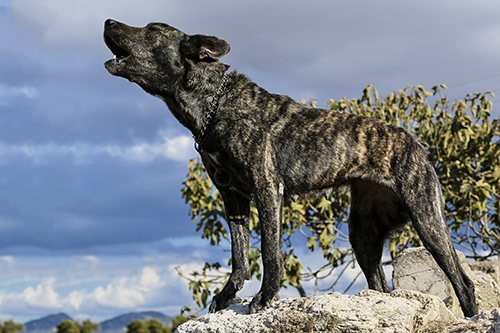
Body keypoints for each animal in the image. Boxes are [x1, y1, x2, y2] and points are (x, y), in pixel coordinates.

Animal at [103, 18, 478, 316]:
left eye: (153, 30)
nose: (107, 21)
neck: (214, 104)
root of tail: (415, 143)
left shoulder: (267, 189)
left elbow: (269, 252)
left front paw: (265, 297)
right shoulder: (232, 198)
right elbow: (239, 256)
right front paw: (227, 295)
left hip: (427, 220)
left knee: (463, 282)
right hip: (363, 233)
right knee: (382, 286)